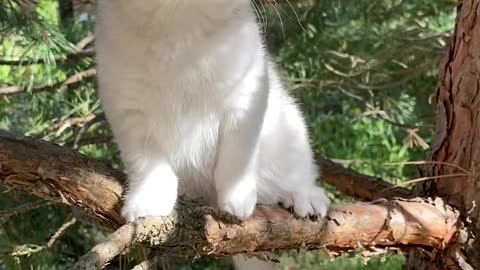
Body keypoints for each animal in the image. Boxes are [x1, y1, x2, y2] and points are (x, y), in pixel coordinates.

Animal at [94, 1, 330, 268]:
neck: (180, 24)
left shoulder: (246, 97)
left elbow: (236, 157)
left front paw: (236, 200)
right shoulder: (129, 111)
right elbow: (149, 163)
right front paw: (150, 199)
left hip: (291, 129)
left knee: (299, 171)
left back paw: (303, 196)